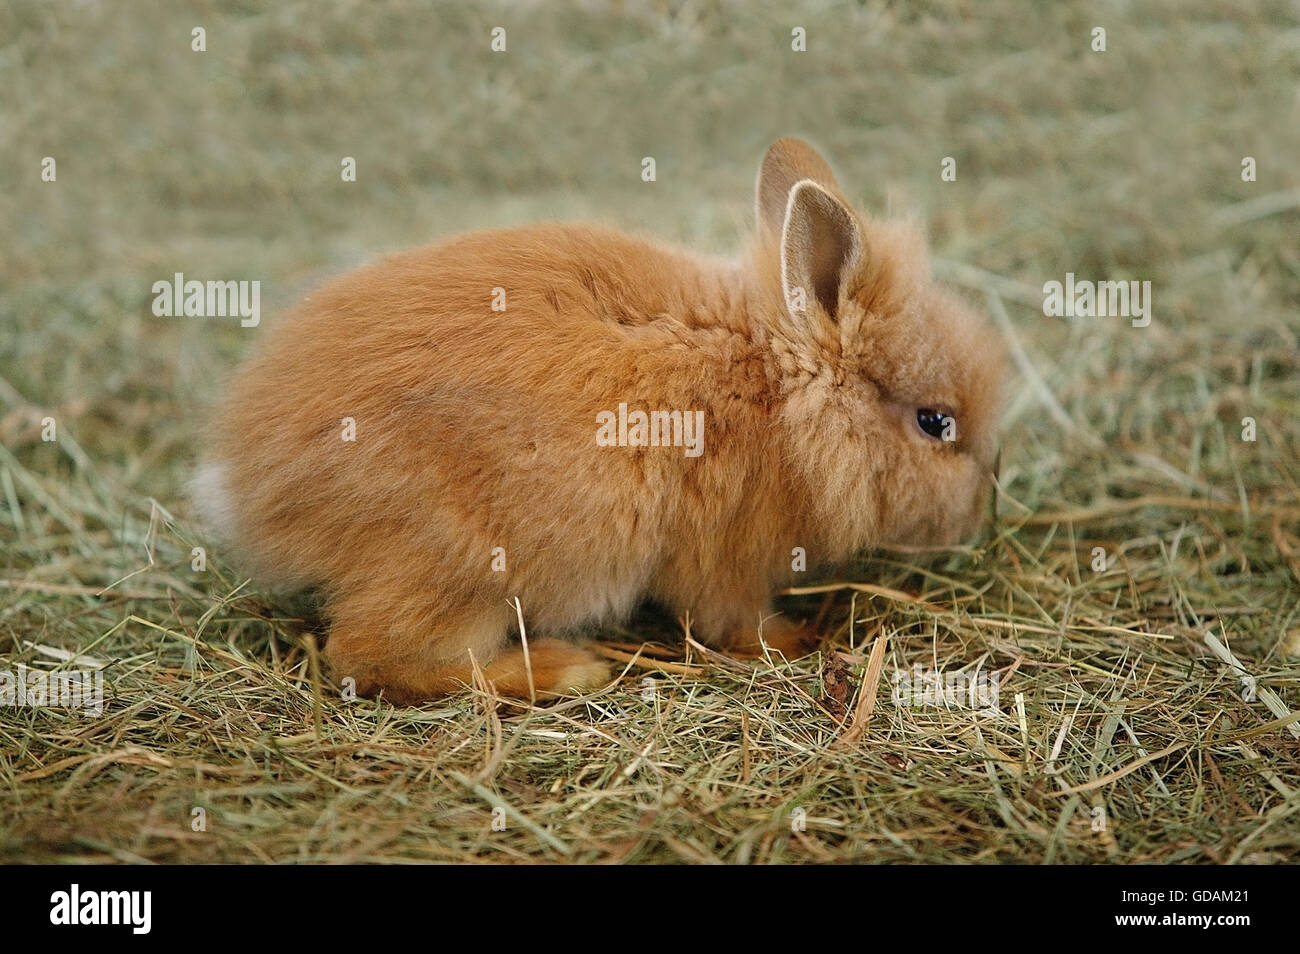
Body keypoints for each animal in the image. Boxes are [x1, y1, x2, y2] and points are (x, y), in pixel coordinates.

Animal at [192, 138, 1005, 704]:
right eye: (936, 423)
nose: (981, 510)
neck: (775, 393)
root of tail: (245, 488)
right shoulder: (725, 560)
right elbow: (732, 621)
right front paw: (797, 639)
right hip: (459, 572)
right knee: (372, 660)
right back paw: (563, 670)